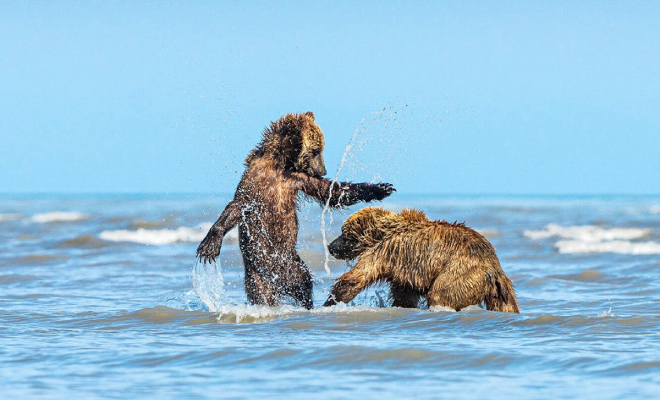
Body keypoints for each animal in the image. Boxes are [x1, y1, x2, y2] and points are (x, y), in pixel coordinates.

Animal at [196, 112, 392, 310]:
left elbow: (331, 191)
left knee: (304, 286)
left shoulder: (299, 179)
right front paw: (210, 244)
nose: (323, 170)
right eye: (316, 150)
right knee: (262, 294)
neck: (279, 165)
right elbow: (237, 205)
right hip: (257, 275)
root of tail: (280, 280)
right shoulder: (255, 180)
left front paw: (380, 188)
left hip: (295, 267)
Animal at [324, 206, 520, 312]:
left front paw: (328, 303)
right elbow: (404, 296)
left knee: (440, 294)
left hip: (462, 273)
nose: (331, 246)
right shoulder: (404, 272)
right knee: (506, 305)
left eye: (344, 234)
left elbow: (356, 278)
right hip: (499, 290)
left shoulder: (384, 251)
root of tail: (493, 267)